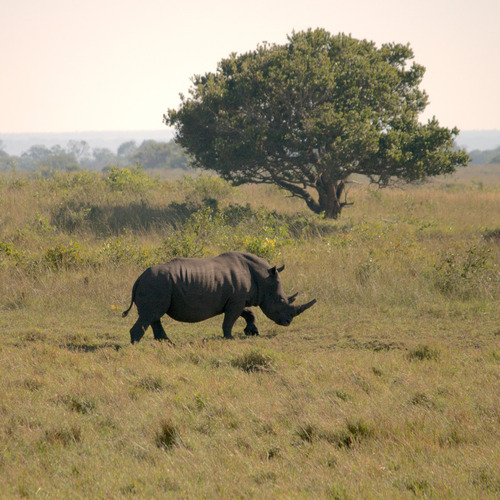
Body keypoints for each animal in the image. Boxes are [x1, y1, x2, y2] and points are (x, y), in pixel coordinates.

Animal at [122, 251, 316, 344]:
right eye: (281, 301)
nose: (288, 322)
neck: (262, 277)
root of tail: (138, 279)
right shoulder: (236, 301)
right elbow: (230, 320)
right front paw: (229, 338)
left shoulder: (238, 299)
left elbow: (248, 313)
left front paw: (252, 332)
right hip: (156, 284)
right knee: (150, 315)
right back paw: (136, 347)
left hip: (157, 285)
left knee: (154, 316)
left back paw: (167, 343)